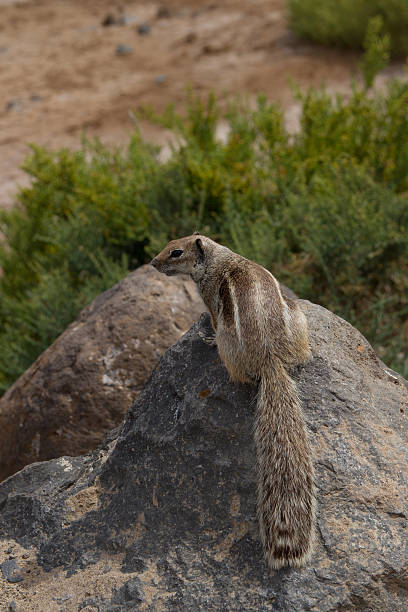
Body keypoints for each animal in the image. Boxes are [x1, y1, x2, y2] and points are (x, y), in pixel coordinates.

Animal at [151, 233, 314, 568]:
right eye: (169, 243)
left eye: (176, 252)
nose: (152, 262)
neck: (219, 258)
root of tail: (271, 360)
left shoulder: (211, 299)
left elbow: (211, 316)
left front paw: (205, 331)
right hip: (299, 319)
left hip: (230, 346)